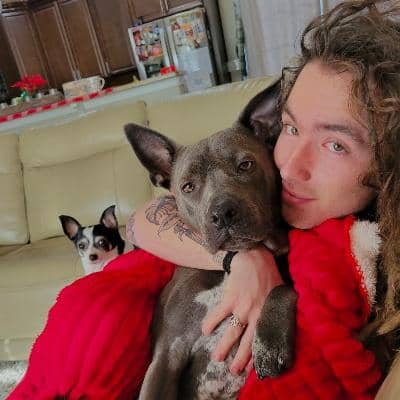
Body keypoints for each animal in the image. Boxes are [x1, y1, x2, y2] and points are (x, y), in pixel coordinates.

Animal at [125, 80, 298, 400]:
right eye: (188, 186)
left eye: (245, 165)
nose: (222, 213)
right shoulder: (168, 354)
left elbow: (282, 287)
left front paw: (270, 341)